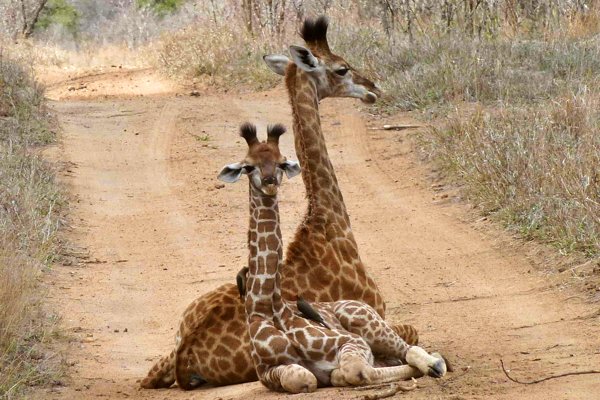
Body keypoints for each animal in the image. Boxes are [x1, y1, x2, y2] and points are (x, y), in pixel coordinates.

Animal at [219, 123, 446, 392]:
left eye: (282, 163)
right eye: (248, 166)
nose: (269, 182)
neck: (264, 307)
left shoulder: (352, 341)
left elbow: (355, 371)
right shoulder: (266, 372)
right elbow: (302, 377)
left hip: (363, 319)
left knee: (411, 351)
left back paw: (436, 363)